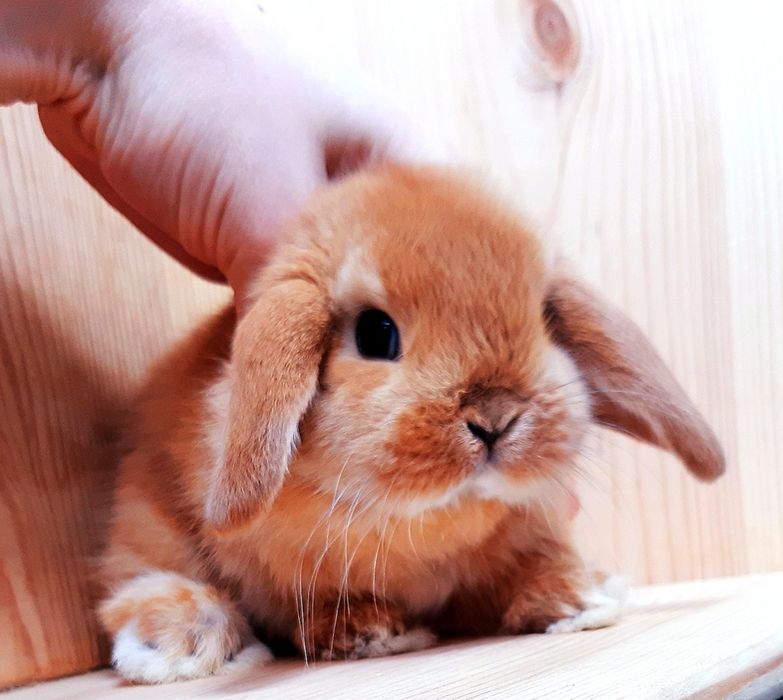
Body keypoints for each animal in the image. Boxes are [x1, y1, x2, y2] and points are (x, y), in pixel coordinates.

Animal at [98, 165, 724, 683]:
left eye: (547, 319)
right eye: (376, 333)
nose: (495, 416)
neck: (426, 521)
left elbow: (538, 562)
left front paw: (580, 598)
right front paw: (369, 632)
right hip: (147, 520)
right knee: (136, 584)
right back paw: (182, 644)